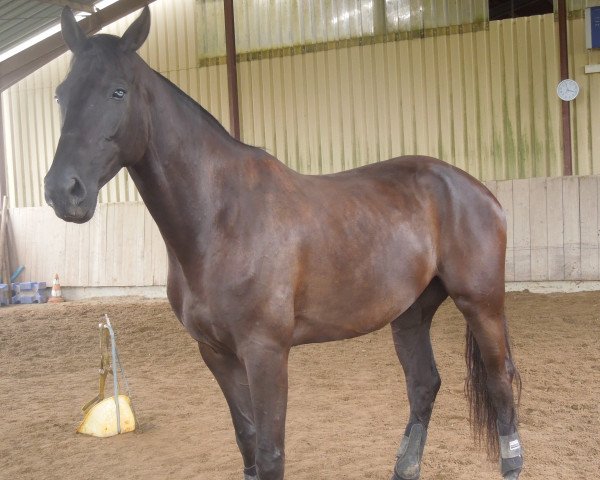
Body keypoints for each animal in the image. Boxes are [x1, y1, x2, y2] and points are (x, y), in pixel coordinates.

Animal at [45, 7, 524, 480]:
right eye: (61, 94)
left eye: (118, 91)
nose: (62, 190)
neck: (221, 219)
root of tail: (476, 190)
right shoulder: (217, 355)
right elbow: (248, 444)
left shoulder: (266, 354)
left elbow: (271, 453)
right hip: (410, 314)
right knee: (424, 384)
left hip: (481, 305)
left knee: (500, 384)